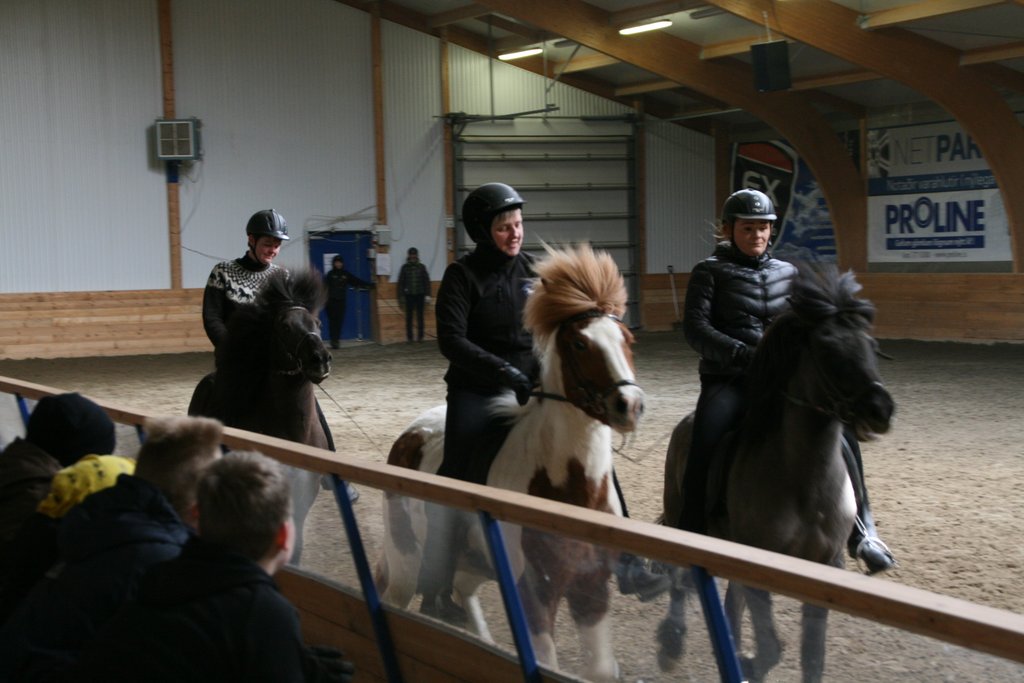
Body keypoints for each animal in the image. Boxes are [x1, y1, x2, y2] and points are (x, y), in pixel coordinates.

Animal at [375, 244, 643, 683]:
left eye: (626, 338)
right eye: (580, 344)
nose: (630, 405)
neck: (565, 487)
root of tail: (408, 437)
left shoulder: (592, 587)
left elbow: (601, 669)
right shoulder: (533, 591)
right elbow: (546, 659)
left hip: (473, 565)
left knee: (462, 592)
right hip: (406, 560)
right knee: (396, 598)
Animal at [657, 264, 894, 683]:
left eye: (869, 343)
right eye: (828, 350)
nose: (880, 410)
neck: (805, 485)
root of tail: (684, 424)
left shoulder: (827, 564)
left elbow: (812, 654)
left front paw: (746, 660)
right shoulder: (758, 560)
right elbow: (770, 645)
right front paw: (752, 661)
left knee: (731, 603)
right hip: (680, 514)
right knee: (681, 579)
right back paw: (674, 641)